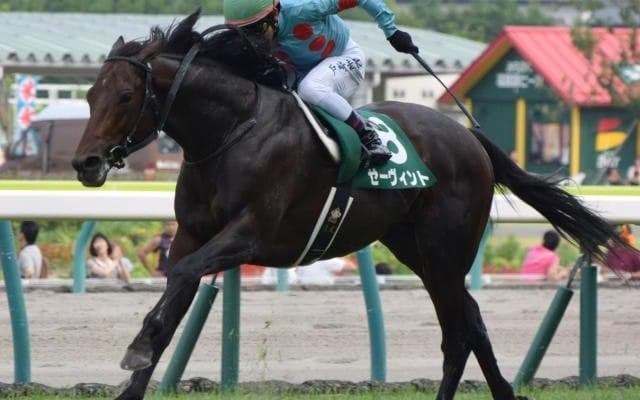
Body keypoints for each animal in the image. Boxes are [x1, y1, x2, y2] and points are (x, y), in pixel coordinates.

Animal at [72, 11, 622, 400]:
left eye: (125, 96)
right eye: (90, 94)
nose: (85, 162)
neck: (231, 132)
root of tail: (470, 137)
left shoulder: (250, 234)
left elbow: (182, 278)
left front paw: (136, 350)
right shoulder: (192, 233)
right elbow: (170, 307)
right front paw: (137, 367)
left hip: (446, 250)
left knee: (457, 333)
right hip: (418, 250)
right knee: (473, 322)